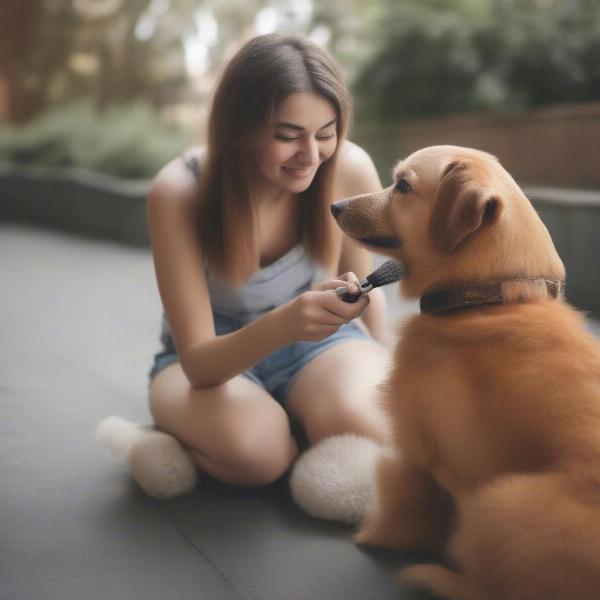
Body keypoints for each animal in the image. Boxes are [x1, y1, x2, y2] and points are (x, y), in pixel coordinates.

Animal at [330, 146, 600, 600]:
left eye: (402, 186)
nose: (335, 205)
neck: (488, 299)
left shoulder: (415, 444)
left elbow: (404, 499)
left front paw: (375, 537)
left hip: (502, 502)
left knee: (490, 587)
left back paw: (435, 577)